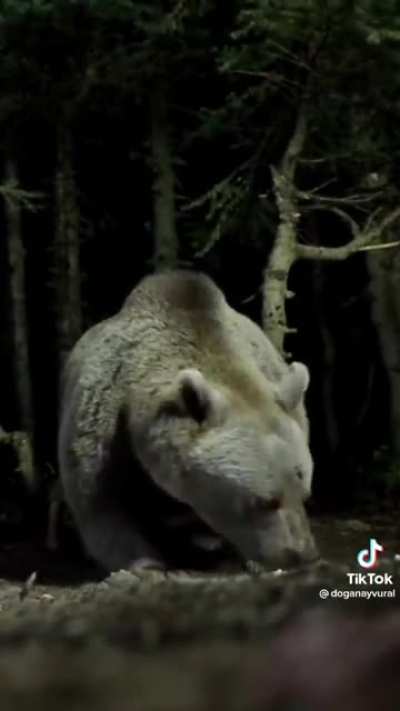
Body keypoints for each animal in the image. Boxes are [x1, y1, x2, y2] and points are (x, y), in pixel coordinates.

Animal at [58, 270, 317, 572]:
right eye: (265, 501)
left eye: (305, 492)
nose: (301, 554)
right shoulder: (104, 421)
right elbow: (101, 506)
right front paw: (146, 562)